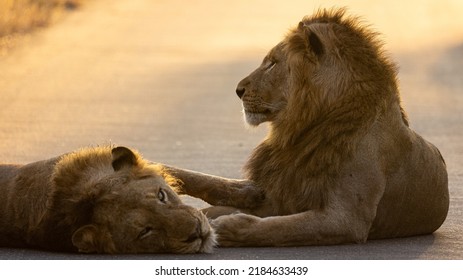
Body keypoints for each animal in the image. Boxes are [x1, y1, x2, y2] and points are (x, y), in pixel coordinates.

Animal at [162, 7, 450, 246]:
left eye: (272, 63)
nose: (238, 90)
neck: (305, 126)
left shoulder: (346, 219)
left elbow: (277, 229)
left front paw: (224, 227)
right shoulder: (279, 191)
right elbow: (217, 186)